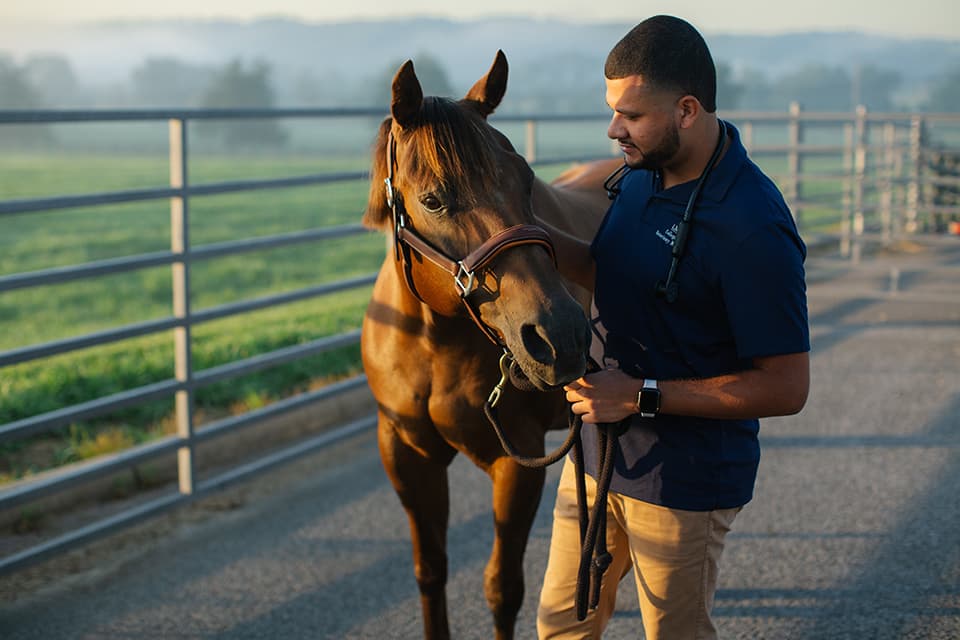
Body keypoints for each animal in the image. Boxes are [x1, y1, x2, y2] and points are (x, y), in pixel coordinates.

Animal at [362, 51, 624, 640]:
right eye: (433, 199)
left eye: (526, 181)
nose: (561, 334)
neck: (433, 344)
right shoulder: (407, 455)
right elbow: (430, 573)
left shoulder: (517, 459)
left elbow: (502, 588)